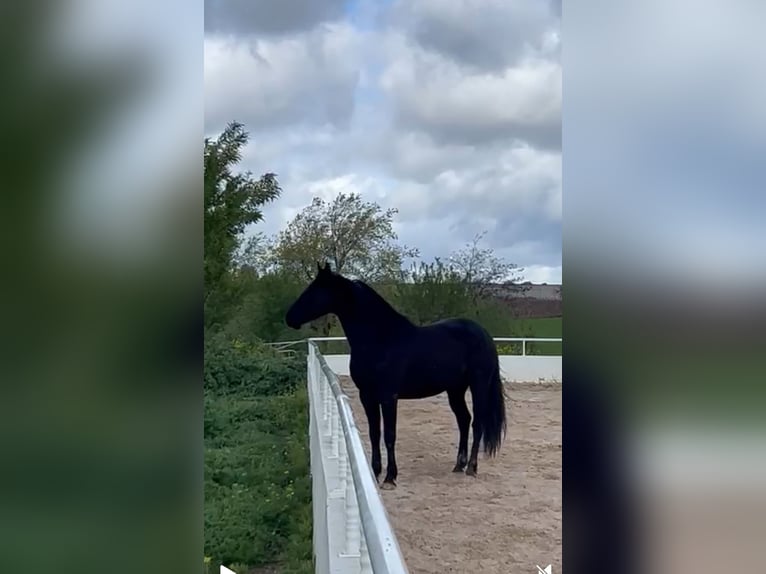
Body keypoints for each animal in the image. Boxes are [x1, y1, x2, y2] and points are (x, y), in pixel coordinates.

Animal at [288, 264, 510, 488]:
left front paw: (390, 477)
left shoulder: (388, 396)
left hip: (478, 385)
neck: (381, 340)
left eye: (315, 291)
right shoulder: (367, 396)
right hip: (455, 389)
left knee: (477, 423)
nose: (290, 318)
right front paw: (375, 472)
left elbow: (389, 435)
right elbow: (374, 433)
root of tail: (483, 334)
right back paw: (459, 465)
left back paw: (472, 467)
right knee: (464, 420)